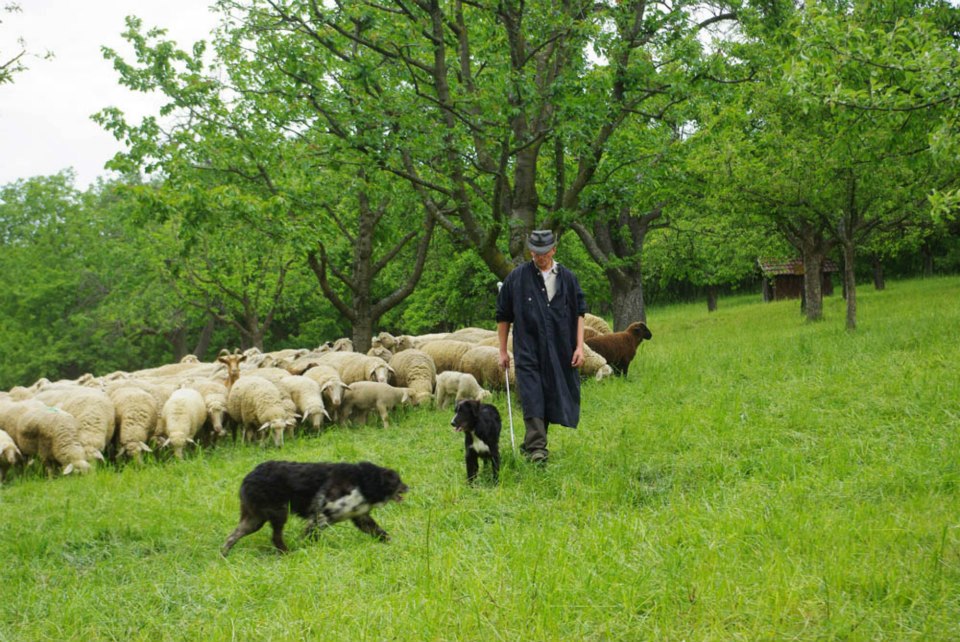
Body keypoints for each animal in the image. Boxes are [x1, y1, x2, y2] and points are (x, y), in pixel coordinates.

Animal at [221, 458, 404, 552]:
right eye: (397, 481)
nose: (407, 487)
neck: (361, 481)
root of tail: (248, 477)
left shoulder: (361, 518)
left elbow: (381, 533)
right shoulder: (321, 516)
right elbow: (309, 537)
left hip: (254, 519)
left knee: (231, 537)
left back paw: (224, 556)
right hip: (278, 513)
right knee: (276, 538)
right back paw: (288, 553)